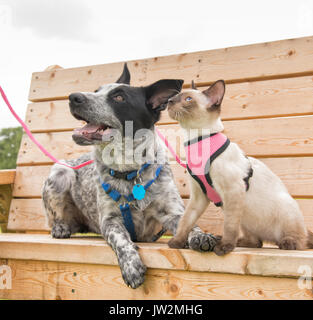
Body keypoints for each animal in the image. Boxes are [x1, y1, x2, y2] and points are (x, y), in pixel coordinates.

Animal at [41, 63, 217, 288]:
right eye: (96, 91)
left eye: (118, 97)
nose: (73, 97)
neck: (131, 173)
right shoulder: (110, 221)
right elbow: (122, 240)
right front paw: (132, 266)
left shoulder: (172, 213)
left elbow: (188, 225)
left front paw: (200, 235)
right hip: (60, 173)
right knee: (55, 216)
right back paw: (61, 227)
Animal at [166, 79, 312, 255]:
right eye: (176, 96)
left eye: (188, 99)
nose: (169, 101)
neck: (196, 142)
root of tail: (270, 238)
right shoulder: (199, 196)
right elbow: (186, 221)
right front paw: (177, 243)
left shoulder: (233, 191)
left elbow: (228, 227)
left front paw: (224, 248)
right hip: (243, 219)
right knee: (256, 242)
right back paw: (236, 241)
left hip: (283, 208)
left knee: (300, 241)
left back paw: (287, 243)